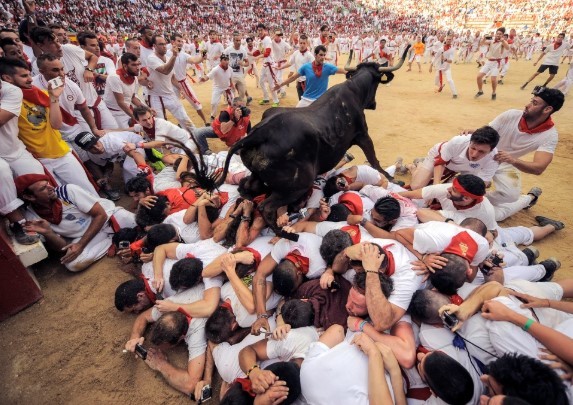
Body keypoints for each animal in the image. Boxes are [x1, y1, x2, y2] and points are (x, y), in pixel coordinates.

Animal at [183, 45, 412, 230]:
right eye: (377, 82)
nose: (373, 104)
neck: (353, 90)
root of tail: (259, 133)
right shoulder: (363, 135)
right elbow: (374, 159)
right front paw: (393, 178)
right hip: (297, 184)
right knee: (266, 206)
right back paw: (284, 232)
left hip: (258, 175)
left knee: (246, 188)